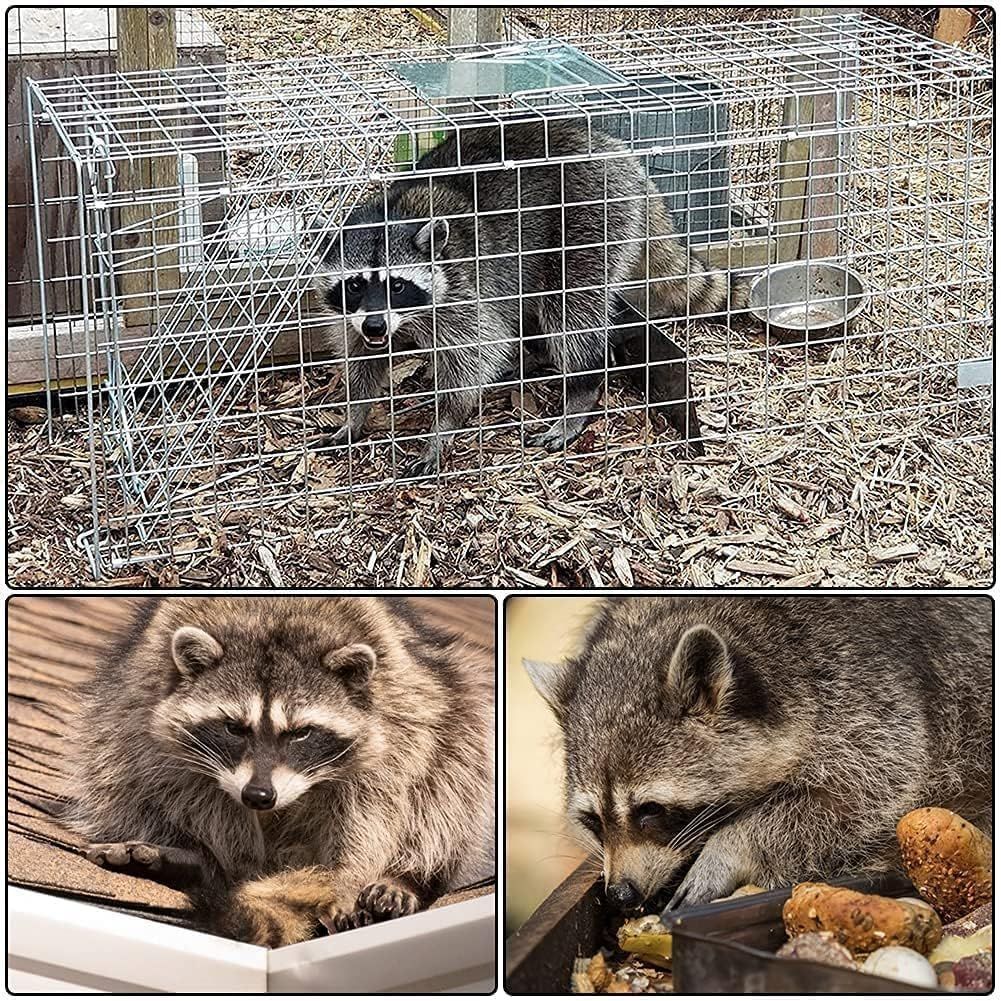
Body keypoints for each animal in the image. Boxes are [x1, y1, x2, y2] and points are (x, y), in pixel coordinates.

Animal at [57, 596, 492, 948]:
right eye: (234, 727)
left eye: (301, 732)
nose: (259, 795)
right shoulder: (150, 713)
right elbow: (186, 787)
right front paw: (231, 862)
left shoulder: (398, 721)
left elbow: (376, 806)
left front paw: (347, 878)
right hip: (114, 718)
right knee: (122, 775)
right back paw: (198, 859)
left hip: (453, 707)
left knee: (449, 781)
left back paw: (404, 876)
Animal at [314, 117, 744, 476]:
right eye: (355, 285)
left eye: (397, 285)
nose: (376, 325)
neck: (390, 215)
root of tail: (618, 154)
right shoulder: (354, 314)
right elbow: (361, 356)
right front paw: (356, 412)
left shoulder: (460, 292)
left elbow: (478, 351)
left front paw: (443, 425)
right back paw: (534, 359)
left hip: (588, 219)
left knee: (569, 312)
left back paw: (581, 390)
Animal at [524, 592, 992, 916]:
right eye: (592, 819)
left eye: (650, 810)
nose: (621, 893)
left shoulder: (869, 693)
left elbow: (859, 793)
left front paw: (730, 847)